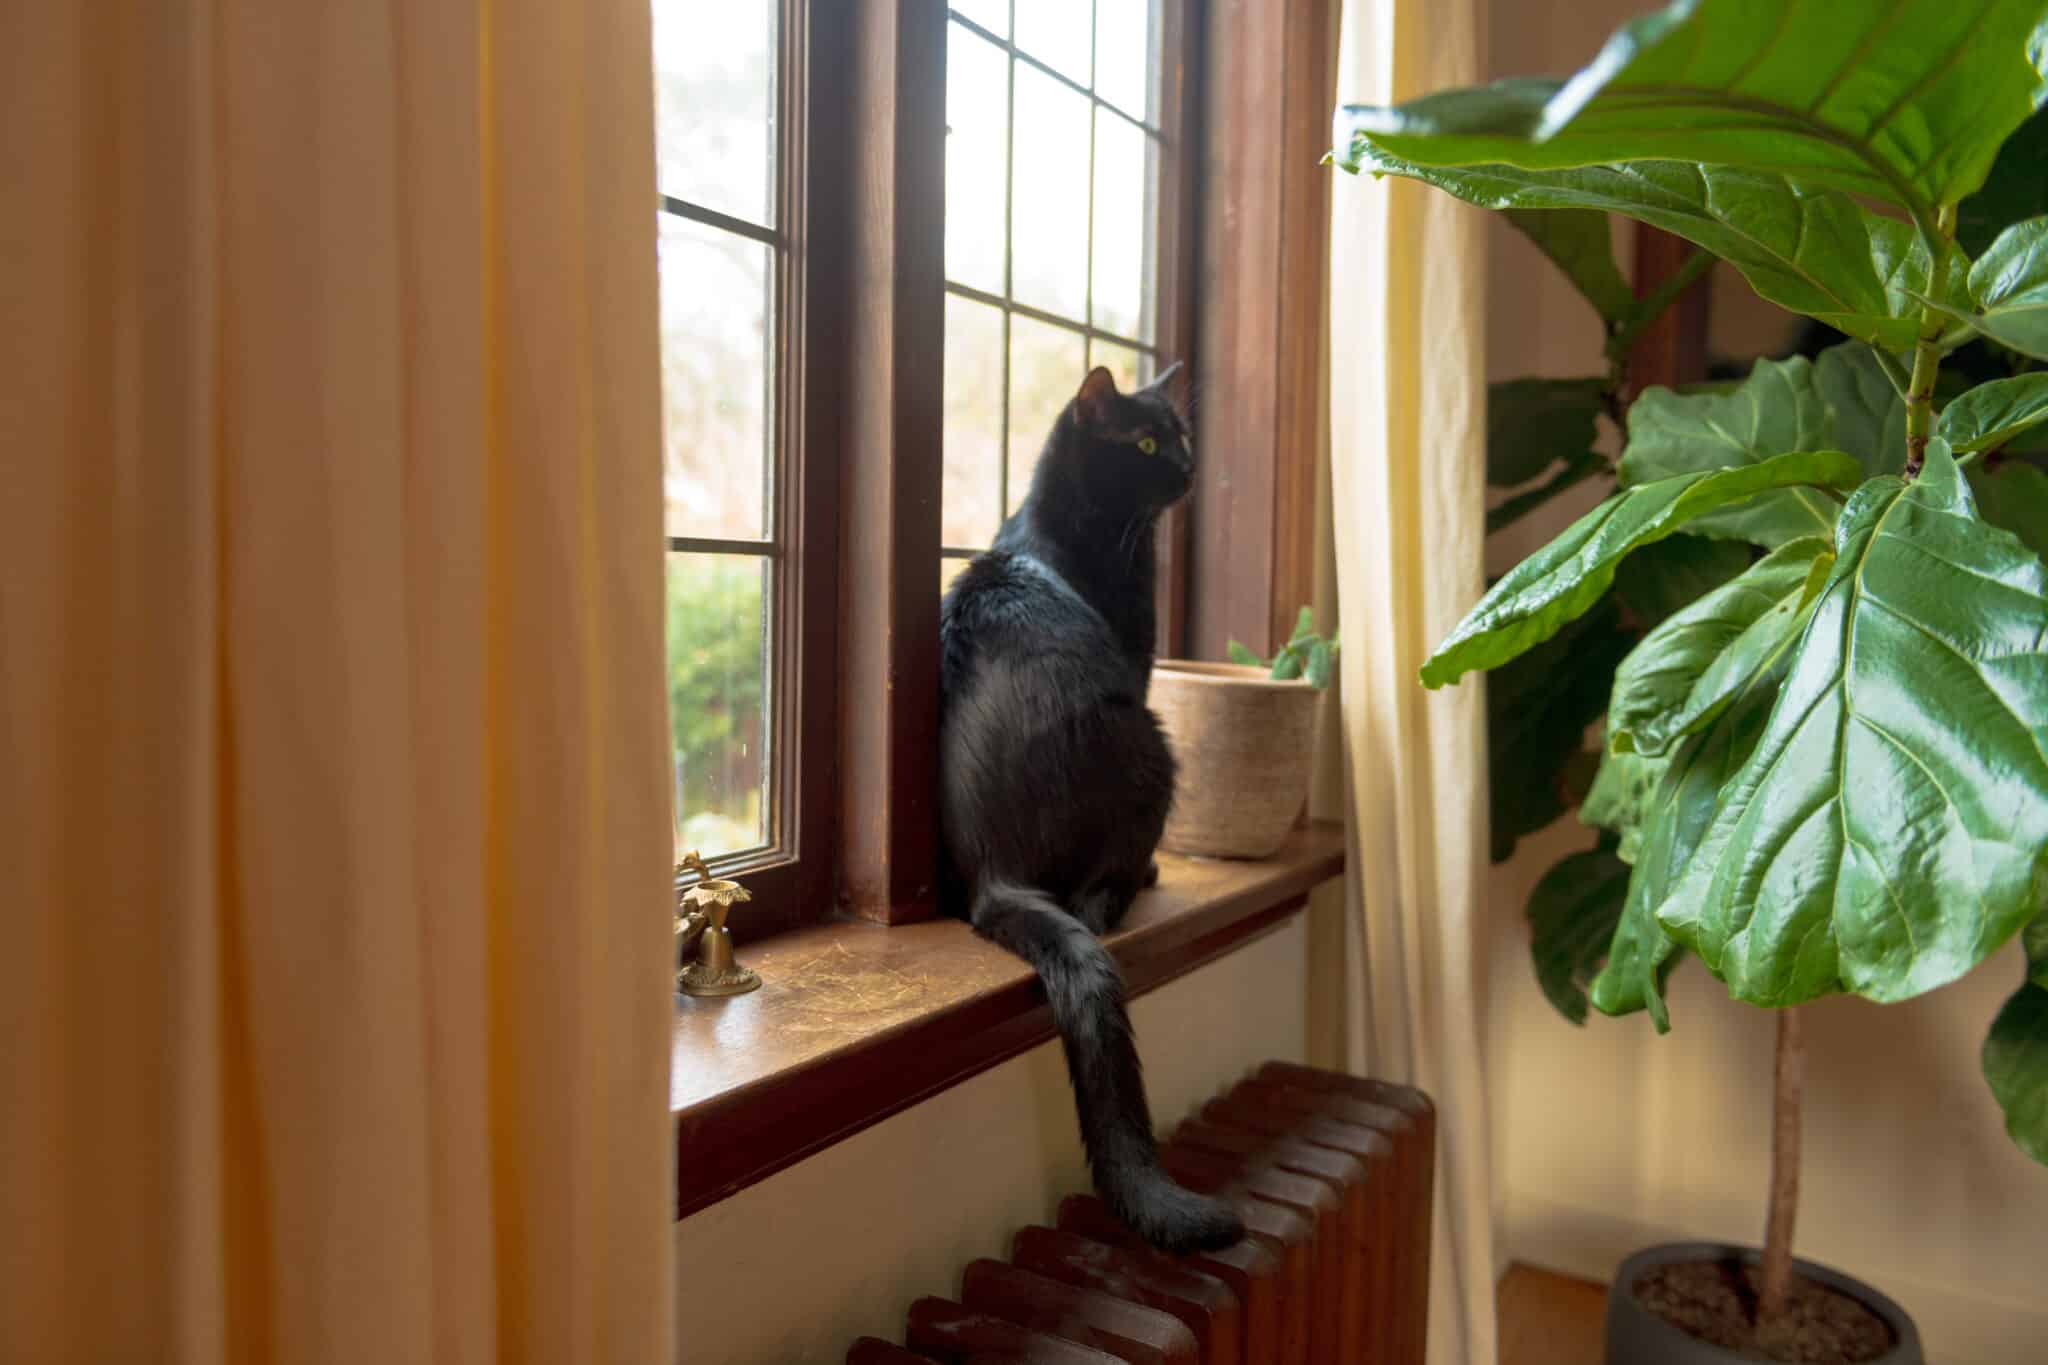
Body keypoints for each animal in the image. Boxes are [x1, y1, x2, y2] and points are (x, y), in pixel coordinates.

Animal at [937, 358, 1236, 1252]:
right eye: (1146, 444)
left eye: (1179, 434)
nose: (1188, 467)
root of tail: (994, 875)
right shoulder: (1139, 661)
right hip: (1153, 743)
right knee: (1101, 890)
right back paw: (1141, 879)